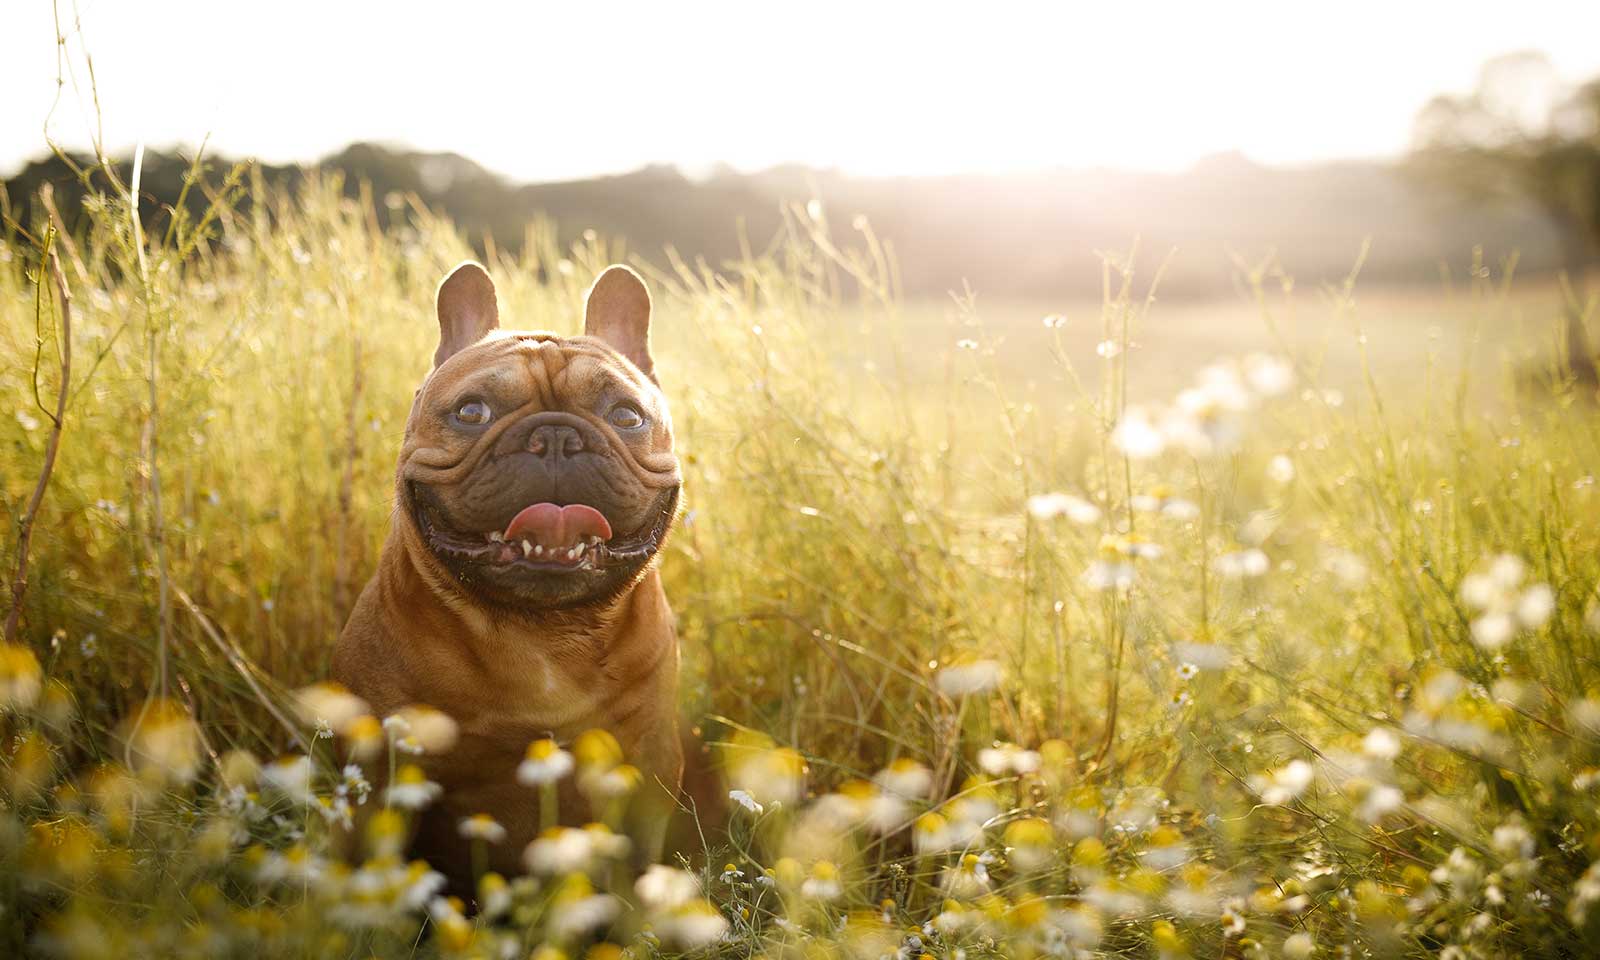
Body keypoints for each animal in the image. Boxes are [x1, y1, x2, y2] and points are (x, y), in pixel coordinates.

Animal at [334, 259, 684, 883]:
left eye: (625, 415)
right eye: (472, 412)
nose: (556, 436)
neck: (541, 630)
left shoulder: (649, 771)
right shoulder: (377, 771)